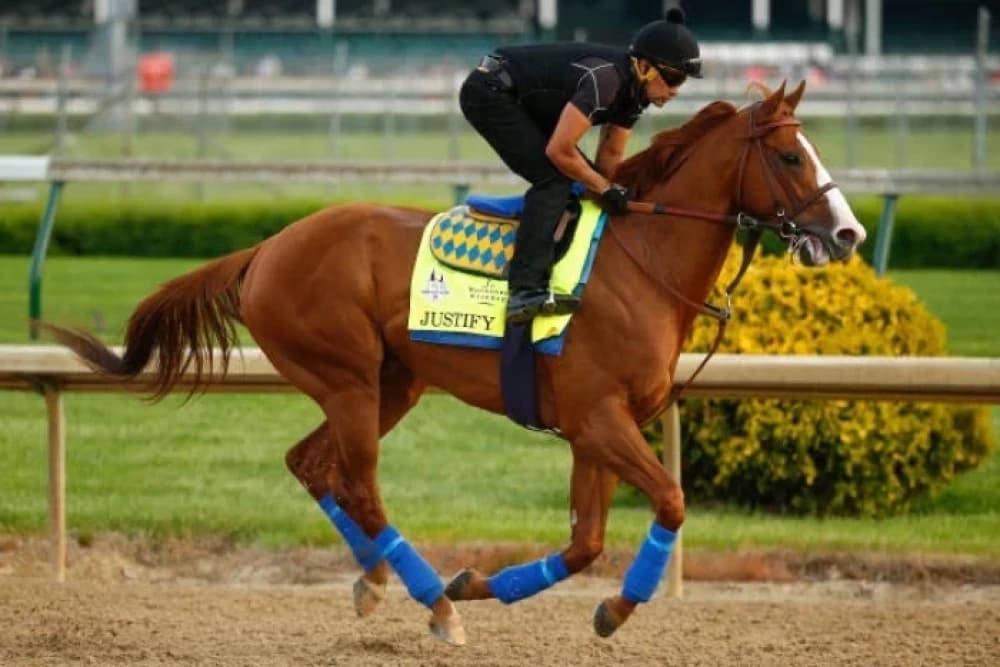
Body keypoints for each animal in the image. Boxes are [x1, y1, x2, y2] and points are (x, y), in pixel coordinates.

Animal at [43, 81, 865, 645]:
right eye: (790, 156)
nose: (848, 234)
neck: (640, 262)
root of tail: (268, 246)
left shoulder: (594, 428)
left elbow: (585, 543)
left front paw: (493, 585)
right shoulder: (601, 417)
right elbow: (668, 501)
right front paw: (608, 606)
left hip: (390, 382)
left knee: (311, 465)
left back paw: (380, 580)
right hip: (346, 378)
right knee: (358, 485)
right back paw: (431, 603)